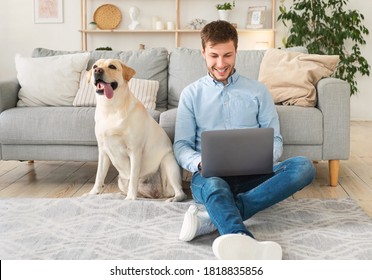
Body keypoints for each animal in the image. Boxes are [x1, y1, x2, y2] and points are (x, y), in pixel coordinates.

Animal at [87, 59, 186, 201]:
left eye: (112, 66)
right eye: (95, 66)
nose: (97, 71)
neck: (111, 108)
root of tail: (159, 194)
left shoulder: (134, 151)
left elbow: (133, 178)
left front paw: (130, 199)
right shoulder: (103, 151)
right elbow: (99, 176)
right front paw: (92, 193)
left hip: (168, 162)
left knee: (180, 191)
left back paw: (173, 198)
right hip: (121, 181)